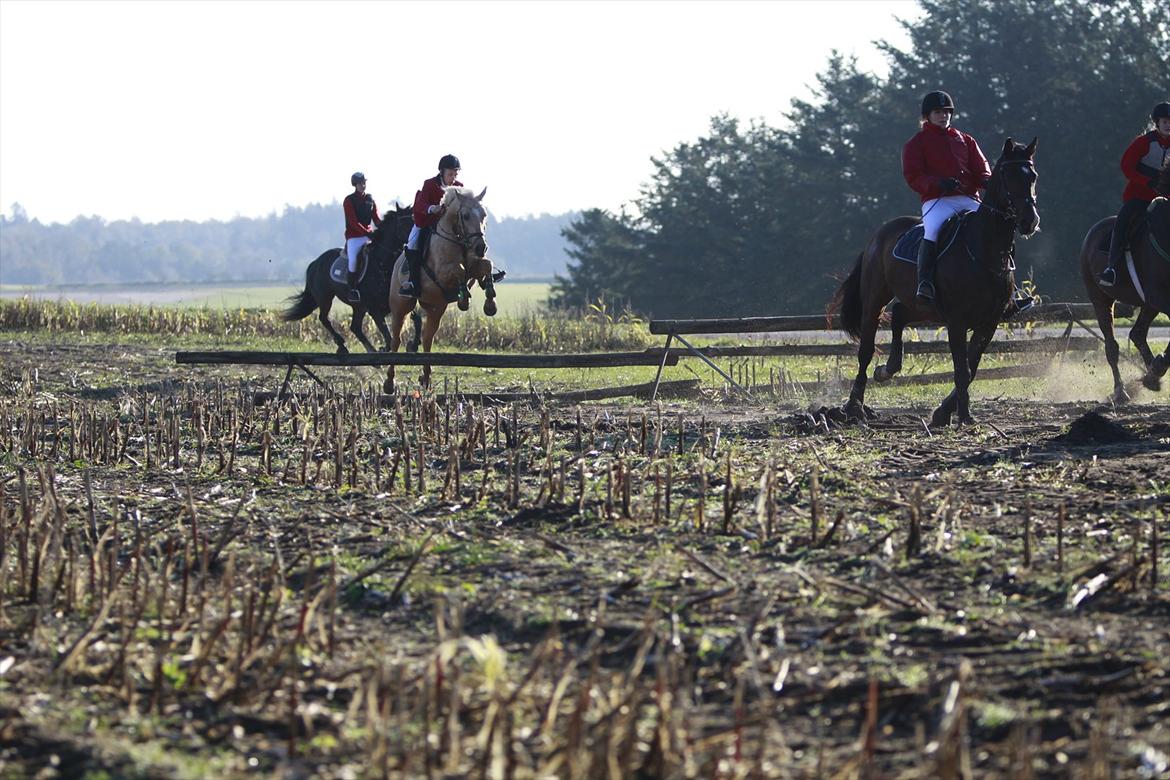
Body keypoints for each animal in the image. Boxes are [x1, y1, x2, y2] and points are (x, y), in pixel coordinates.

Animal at [280, 205, 414, 355]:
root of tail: (315, 262)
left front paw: (402, 345)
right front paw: (384, 348)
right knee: (324, 318)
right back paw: (342, 344)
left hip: (358, 307)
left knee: (355, 327)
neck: (382, 264)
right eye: (405, 223)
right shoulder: (374, 309)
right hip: (325, 298)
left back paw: (370, 350)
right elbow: (387, 334)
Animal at [833, 135, 1043, 428]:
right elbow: (962, 369)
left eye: (1032, 176)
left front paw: (945, 412)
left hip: (925, 308)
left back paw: (888, 369)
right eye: (1008, 175)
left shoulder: (988, 323)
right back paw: (854, 406)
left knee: (899, 314)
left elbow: (972, 367)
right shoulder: (957, 322)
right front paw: (964, 416)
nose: (1029, 221)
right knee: (865, 350)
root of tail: (879, 235)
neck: (982, 249)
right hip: (875, 300)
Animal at [1076, 159, 1170, 402]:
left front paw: (1155, 370)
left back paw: (1151, 375)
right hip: (1100, 299)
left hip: (1147, 304)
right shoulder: (1158, 295)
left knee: (1137, 334)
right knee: (1112, 346)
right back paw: (1122, 389)